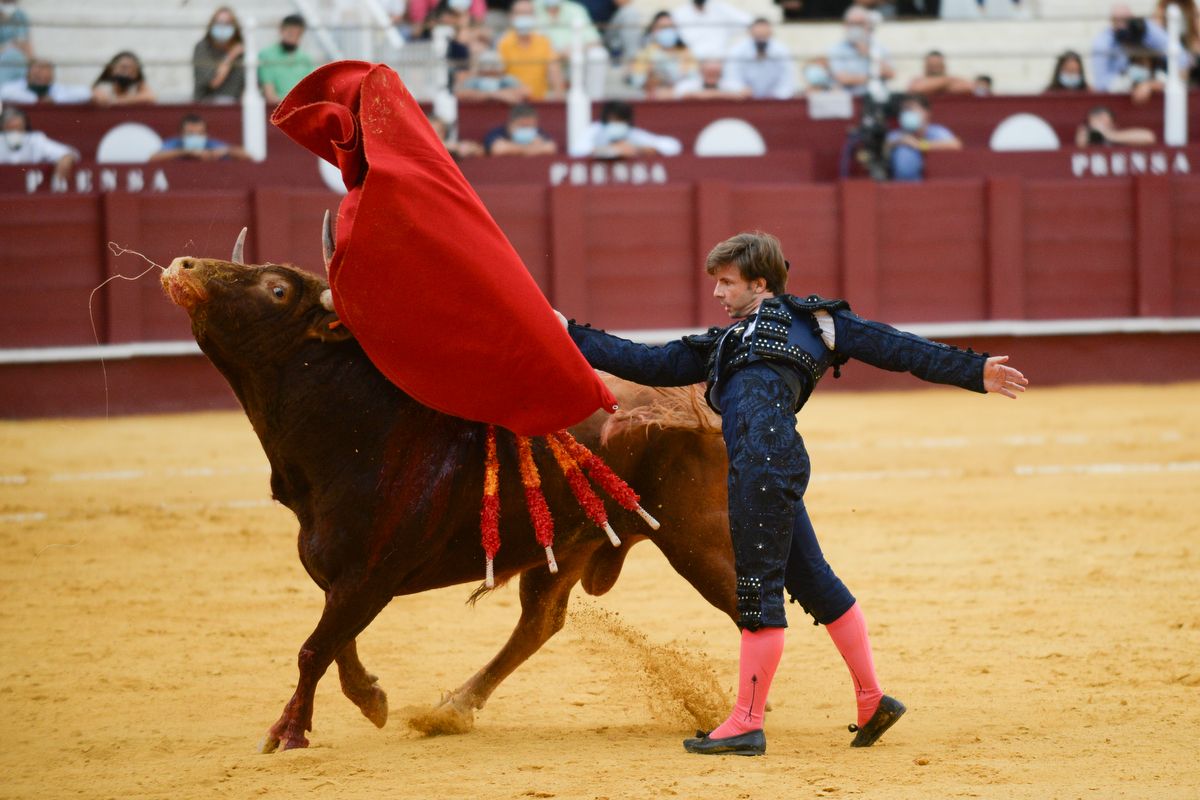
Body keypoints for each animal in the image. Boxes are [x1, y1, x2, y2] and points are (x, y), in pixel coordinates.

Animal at [159, 227, 739, 753]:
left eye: (277, 289)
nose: (183, 265)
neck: (359, 428)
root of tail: (699, 401)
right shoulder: (338, 576)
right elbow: (336, 642)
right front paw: (371, 699)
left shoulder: (369, 577)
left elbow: (314, 648)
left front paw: (289, 732)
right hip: (573, 543)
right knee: (539, 623)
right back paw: (453, 708)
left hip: (699, 540)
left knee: (740, 599)